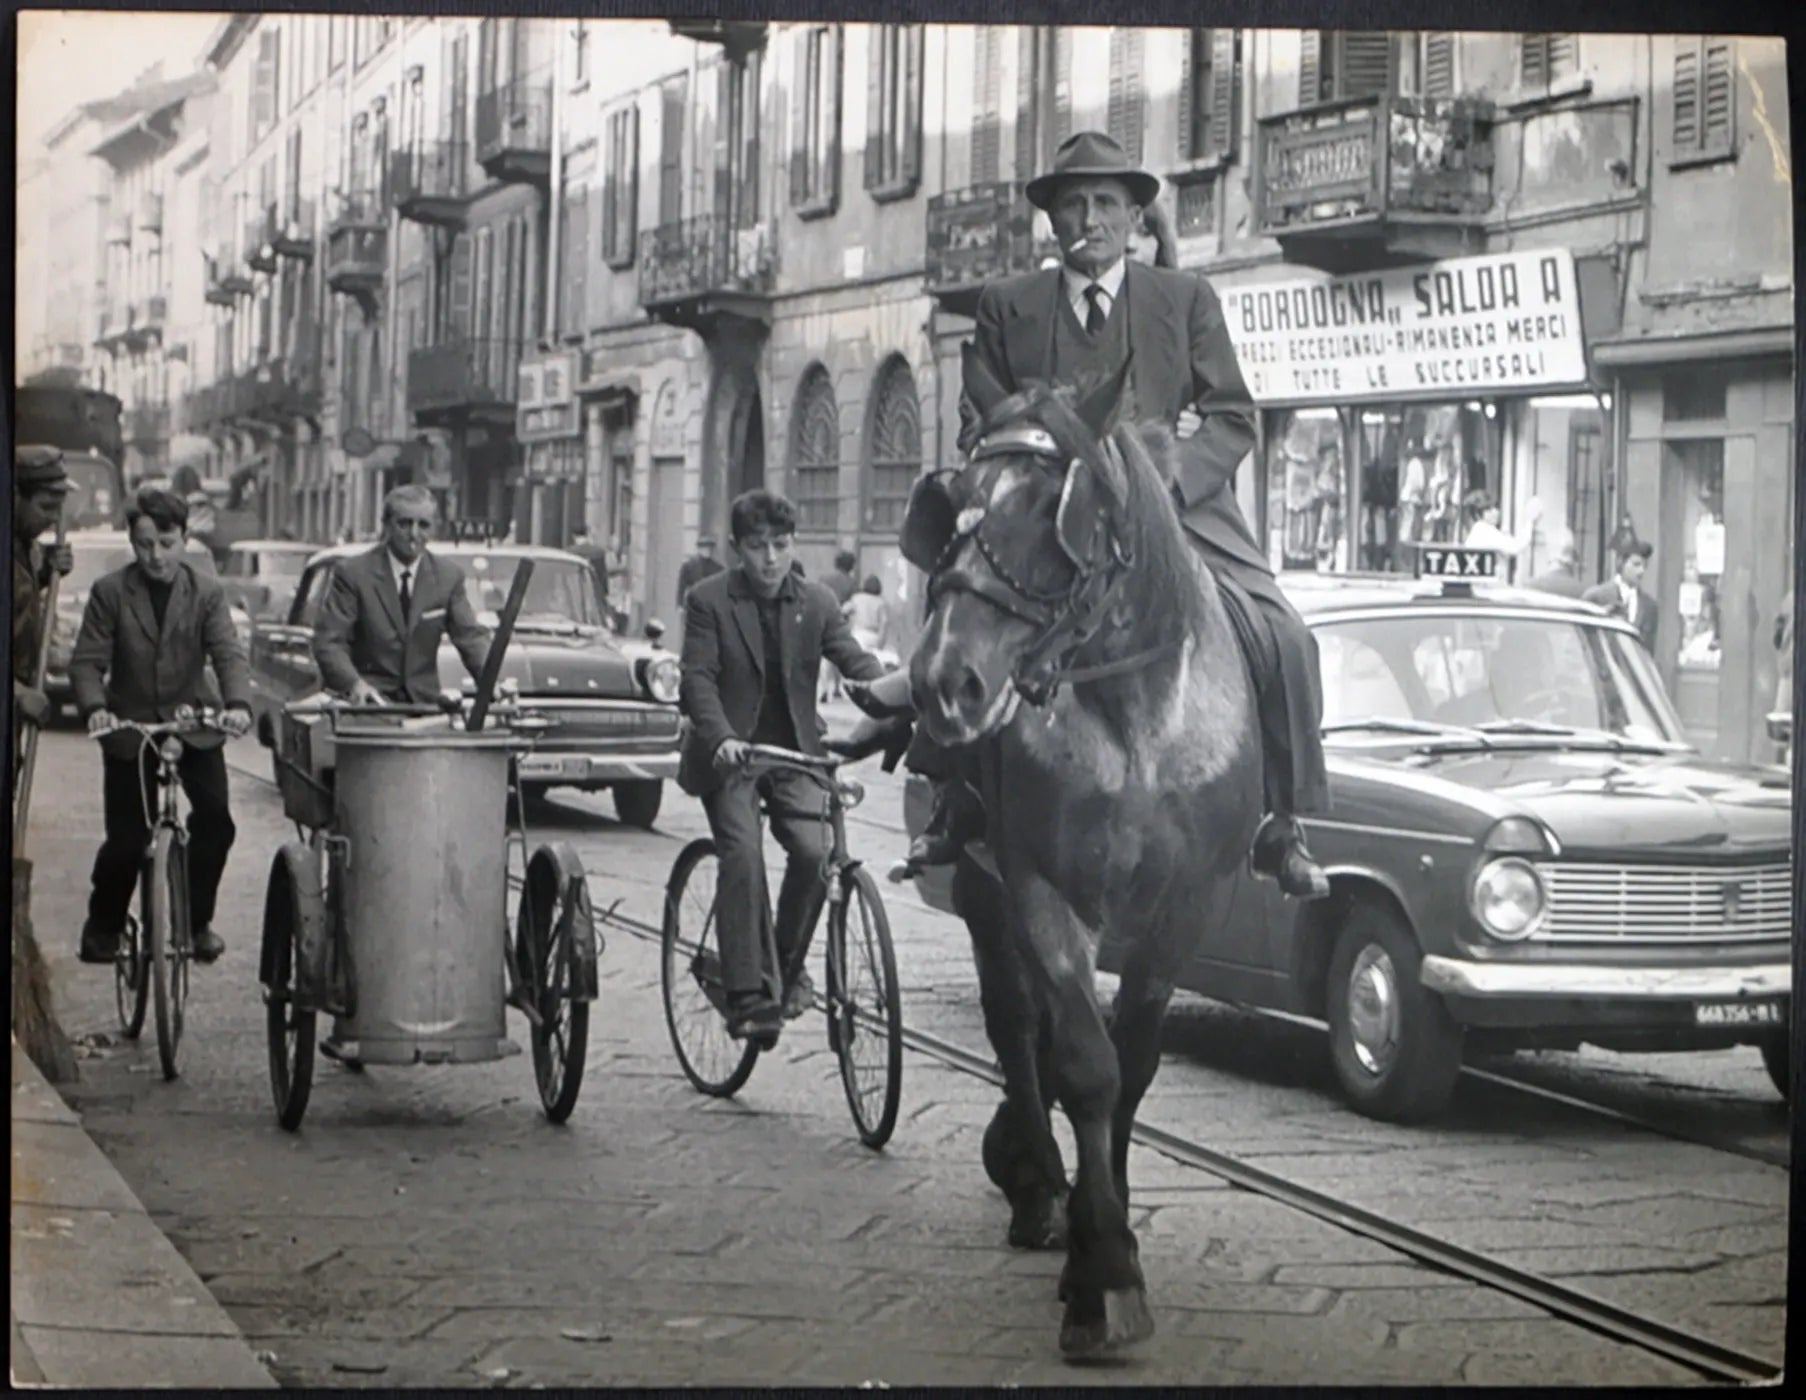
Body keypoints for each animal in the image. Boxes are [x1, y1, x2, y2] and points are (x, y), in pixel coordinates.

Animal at [903, 359, 1271, 1358]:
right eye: (955, 499)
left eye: (1051, 507)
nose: (945, 682)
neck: (1132, 713)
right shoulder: (1038, 888)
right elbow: (1083, 1063)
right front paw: (1101, 1271)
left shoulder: (1185, 907)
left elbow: (1134, 1063)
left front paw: (1118, 1221)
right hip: (982, 884)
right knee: (1012, 1022)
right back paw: (1037, 1185)